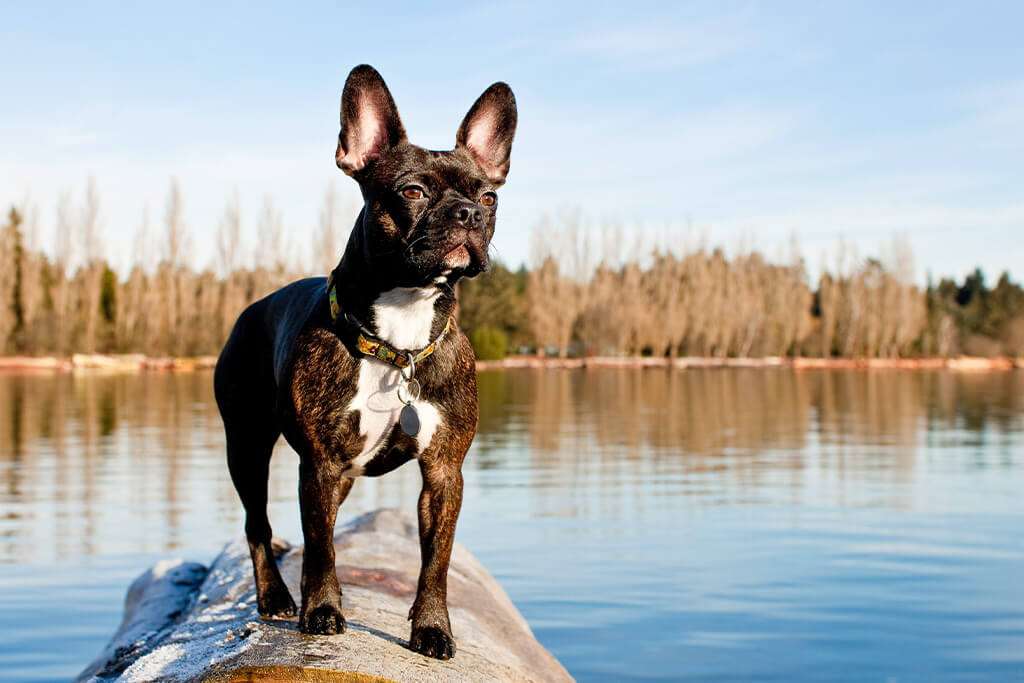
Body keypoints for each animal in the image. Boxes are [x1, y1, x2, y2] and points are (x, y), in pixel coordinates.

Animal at [212, 65, 516, 663]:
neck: (400, 337)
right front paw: (322, 612)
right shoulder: (321, 463)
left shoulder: (443, 471)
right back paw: (277, 597)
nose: (469, 213)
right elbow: (321, 547)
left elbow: (436, 560)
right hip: (247, 444)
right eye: (412, 191)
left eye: (490, 197)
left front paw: (432, 629)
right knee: (258, 523)